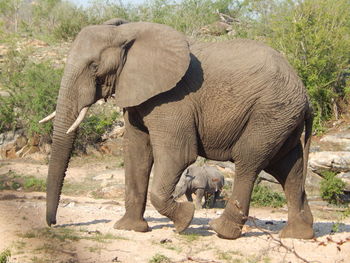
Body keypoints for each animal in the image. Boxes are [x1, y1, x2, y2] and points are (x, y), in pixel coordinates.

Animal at [43, 18, 314, 240]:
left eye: (93, 66)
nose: (53, 224)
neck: (127, 32)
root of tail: (305, 96)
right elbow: (137, 154)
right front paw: (130, 229)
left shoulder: (173, 99)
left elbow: (178, 154)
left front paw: (185, 220)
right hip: (282, 119)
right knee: (288, 168)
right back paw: (298, 235)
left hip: (269, 112)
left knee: (249, 161)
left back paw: (221, 231)